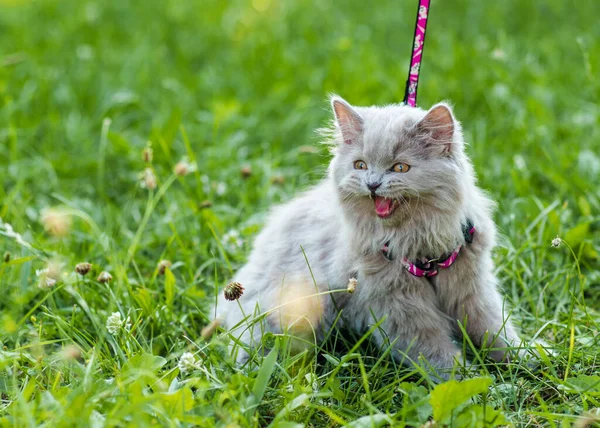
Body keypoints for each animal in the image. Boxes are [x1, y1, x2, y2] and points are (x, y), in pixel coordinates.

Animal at [214, 96, 520, 378]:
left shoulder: (472, 291)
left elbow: (496, 332)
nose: (372, 184)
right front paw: (477, 382)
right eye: (360, 165)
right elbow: (439, 355)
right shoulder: (401, 310)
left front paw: (525, 361)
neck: (421, 246)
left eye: (400, 168)